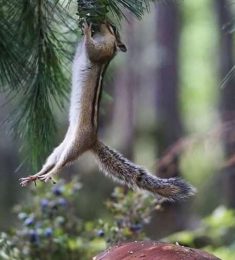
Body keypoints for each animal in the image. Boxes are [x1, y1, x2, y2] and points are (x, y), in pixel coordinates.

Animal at [19, 22, 195, 201]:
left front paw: (87, 31)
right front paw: (81, 29)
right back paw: (35, 176)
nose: (106, 22)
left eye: (114, 29)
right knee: (51, 162)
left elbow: (92, 50)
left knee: (62, 164)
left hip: (74, 146)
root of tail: (93, 140)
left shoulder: (103, 51)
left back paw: (49, 175)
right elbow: (80, 47)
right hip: (59, 149)